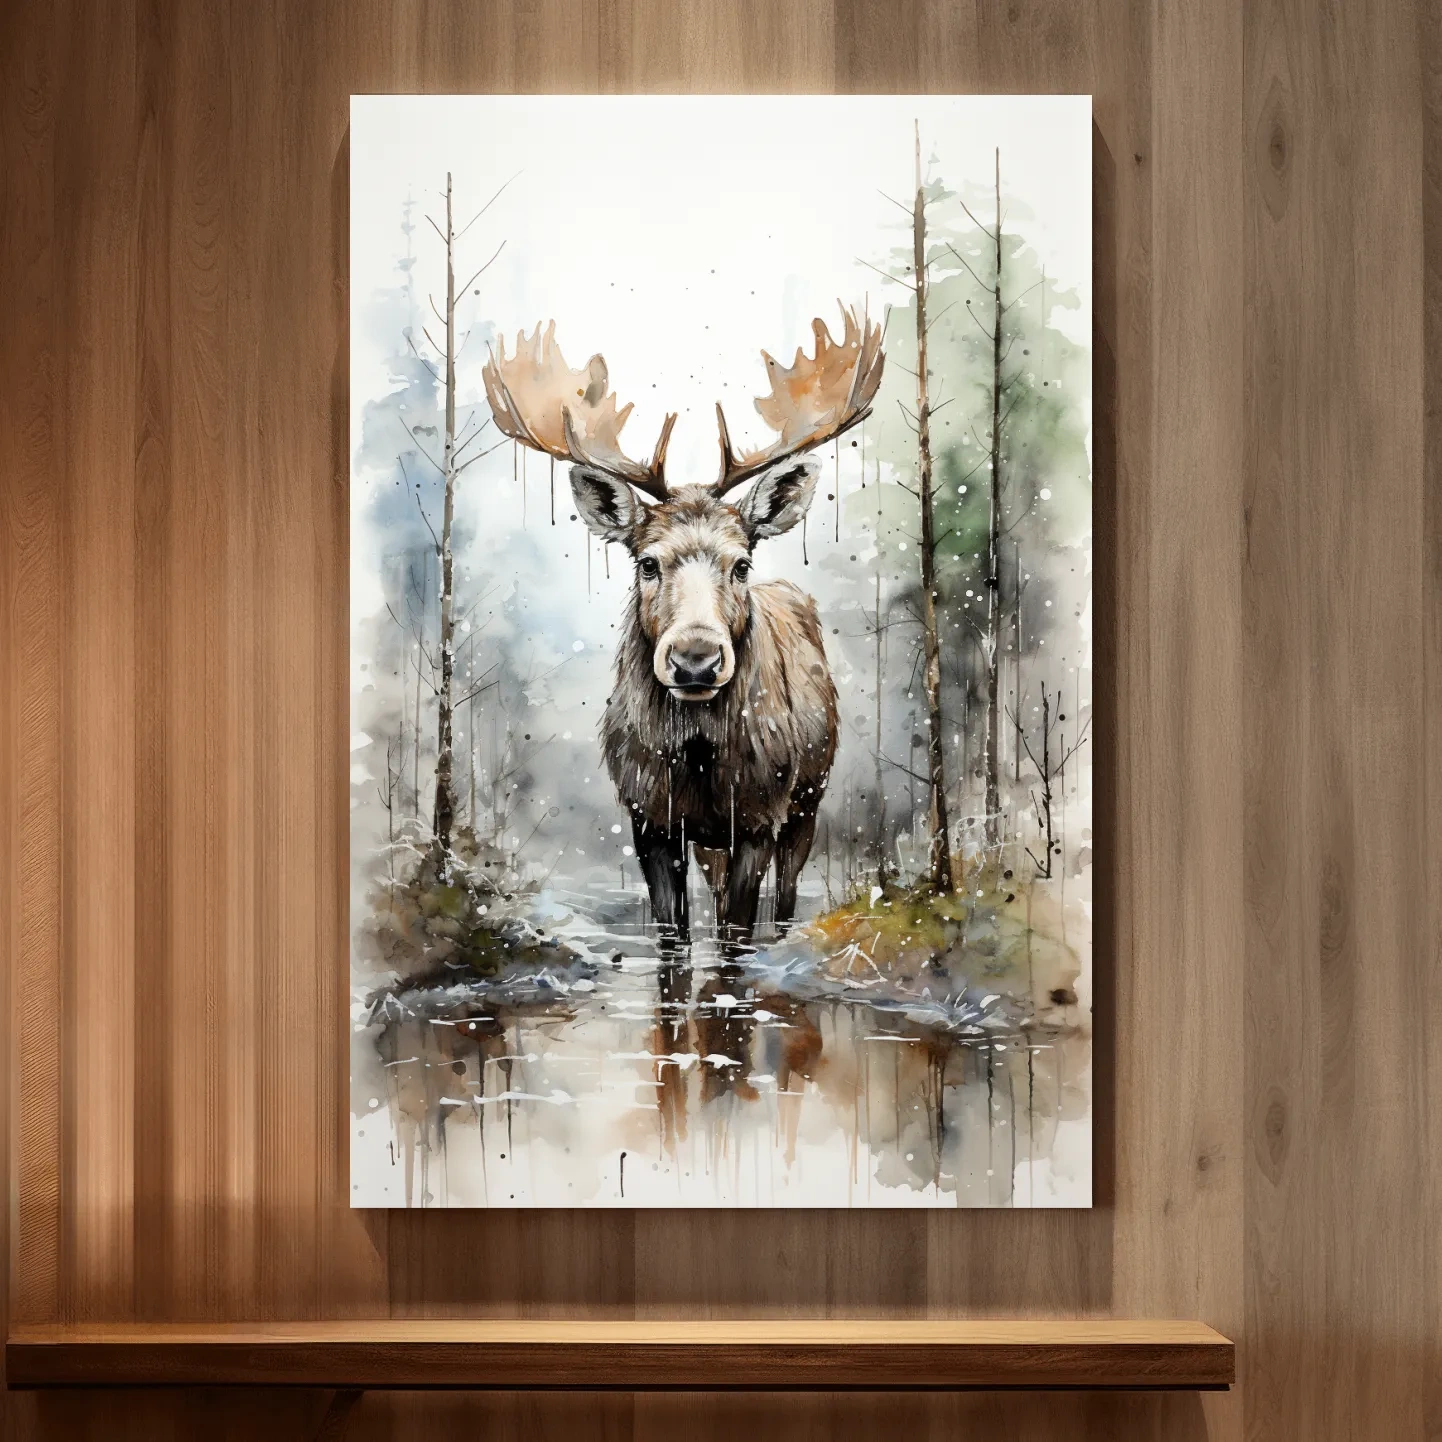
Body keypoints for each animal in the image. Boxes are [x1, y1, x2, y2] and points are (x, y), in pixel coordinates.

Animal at [483, 305, 884, 951]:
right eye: (647, 563)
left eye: (741, 563)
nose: (695, 659)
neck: (698, 765)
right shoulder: (648, 817)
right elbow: (673, 939)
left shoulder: (760, 815)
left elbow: (736, 936)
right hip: (715, 839)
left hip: (808, 801)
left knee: (786, 898)